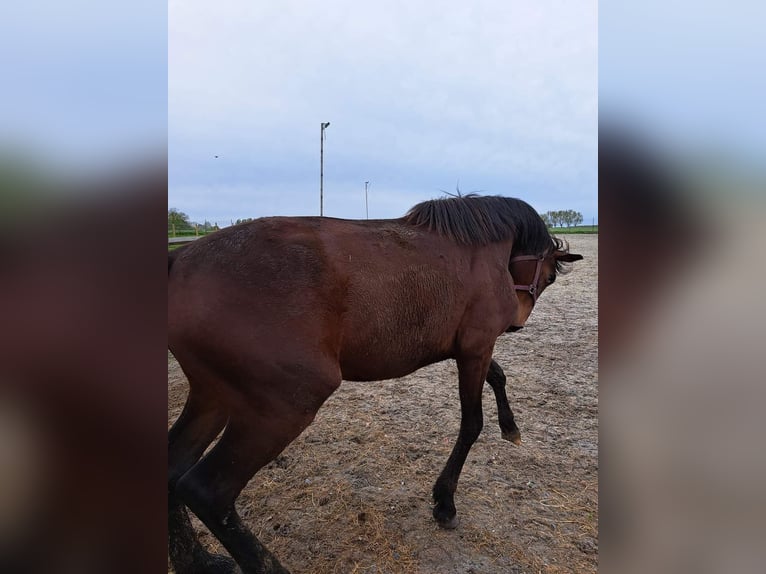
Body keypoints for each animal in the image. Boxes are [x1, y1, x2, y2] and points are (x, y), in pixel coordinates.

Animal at [168, 196, 584, 572]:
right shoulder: (476, 348)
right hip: (282, 406)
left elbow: (498, 376)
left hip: (214, 396)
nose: (517, 322)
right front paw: (445, 502)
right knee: (207, 492)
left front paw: (511, 427)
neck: (481, 252)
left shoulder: (467, 349)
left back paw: (199, 561)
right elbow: (471, 424)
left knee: (175, 465)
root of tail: (181, 259)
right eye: (549, 277)